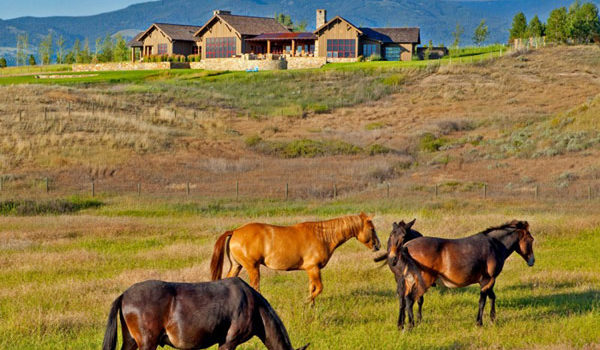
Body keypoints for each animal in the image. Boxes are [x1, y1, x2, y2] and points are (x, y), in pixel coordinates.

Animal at [211, 213, 380, 304]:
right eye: (372, 229)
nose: (377, 245)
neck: (322, 236)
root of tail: (235, 231)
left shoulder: (311, 270)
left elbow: (313, 288)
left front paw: (311, 307)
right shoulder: (313, 268)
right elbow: (319, 288)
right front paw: (306, 302)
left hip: (237, 266)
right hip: (252, 267)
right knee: (255, 287)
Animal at [394, 220, 536, 330]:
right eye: (530, 239)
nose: (532, 261)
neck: (494, 245)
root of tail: (406, 247)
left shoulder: (487, 281)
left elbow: (492, 297)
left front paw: (492, 319)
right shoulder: (488, 280)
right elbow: (482, 301)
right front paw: (479, 323)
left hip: (409, 281)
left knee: (403, 299)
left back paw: (401, 325)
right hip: (422, 281)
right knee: (409, 299)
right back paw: (411, 325)